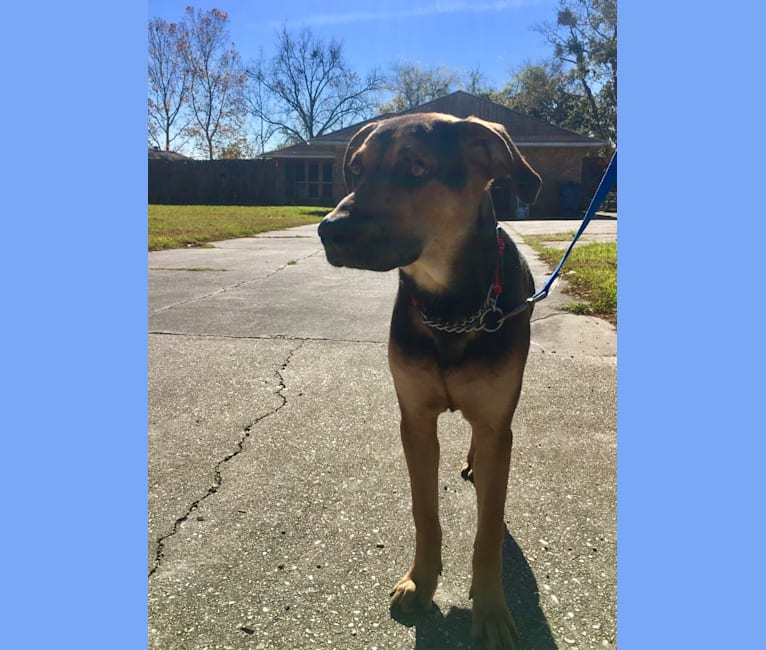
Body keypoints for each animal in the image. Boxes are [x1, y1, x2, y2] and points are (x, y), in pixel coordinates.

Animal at [320, 114, 544, 644]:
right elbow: (424, 511)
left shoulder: (495, 420)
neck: (451, 307)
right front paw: (420, 583)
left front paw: (491, 610)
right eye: (356, 169)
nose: (326, 230)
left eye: (417, 168)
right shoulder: (416, 420)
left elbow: (488, 530)